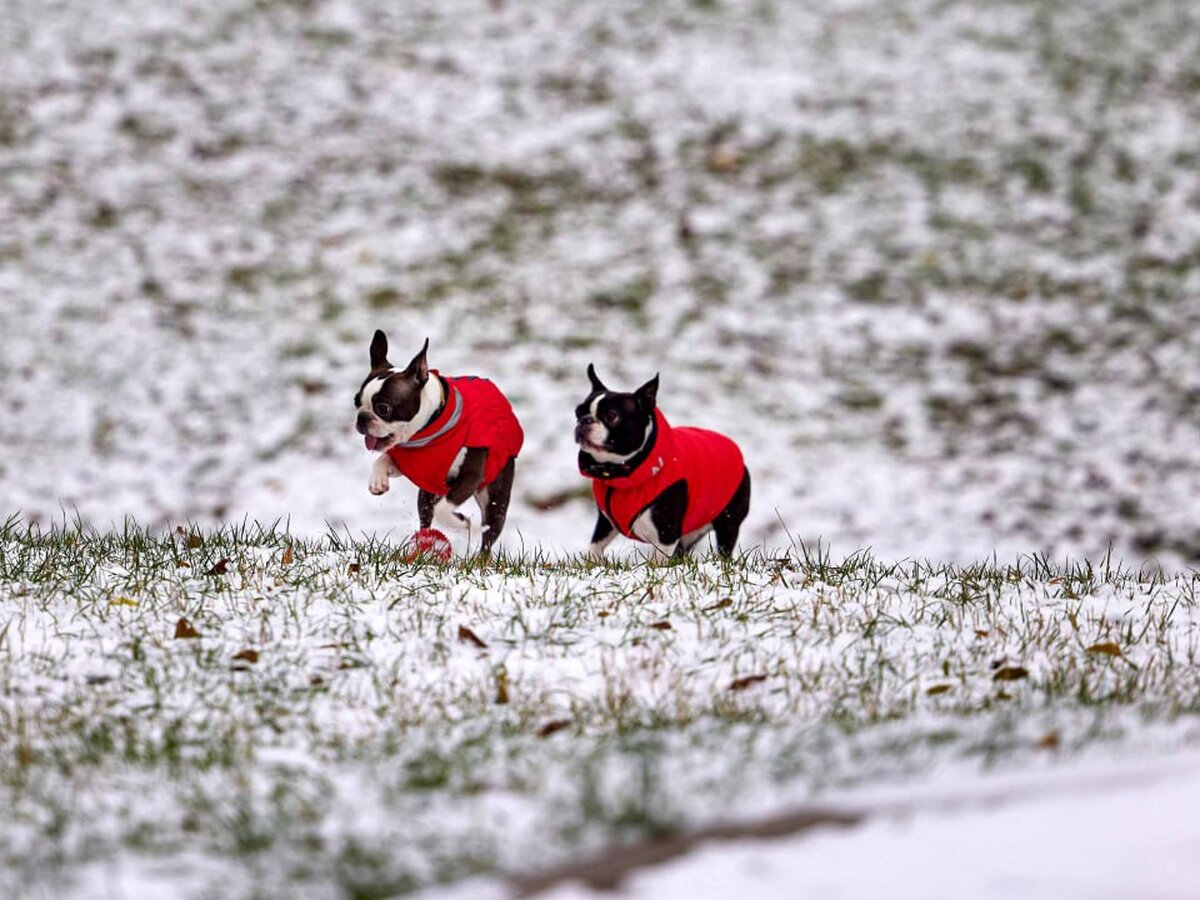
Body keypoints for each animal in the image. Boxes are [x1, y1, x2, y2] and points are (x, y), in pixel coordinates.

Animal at [355, 331, 525, 556]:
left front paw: (463, 523)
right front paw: (378, 481)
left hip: (495, 498)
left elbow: (443, 509)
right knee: (426, 517)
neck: (428, 430)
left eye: (383, 408)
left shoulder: (470, 477)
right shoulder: (409, 465)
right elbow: (382, 459)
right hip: (426, 494)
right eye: (356, 402)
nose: (362, 418)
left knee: (488, 536)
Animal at [571, 364, 748, 561]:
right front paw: (591, 563)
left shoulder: (667, 533)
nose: (584, 420)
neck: (623, 472)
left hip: (728, 522)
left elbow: (658, 561)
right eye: (577, 412)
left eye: (611, 416)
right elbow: (595, 547)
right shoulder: (605, 523)